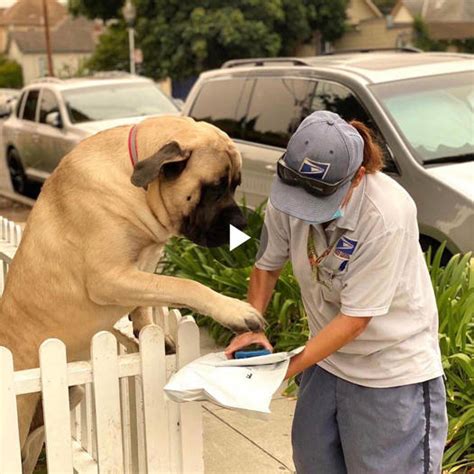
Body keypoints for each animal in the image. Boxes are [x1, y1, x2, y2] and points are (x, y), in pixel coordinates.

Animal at [0, 115, 264, 470]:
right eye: (215, 187)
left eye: (235, 184)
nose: (244, 223)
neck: (139, 185)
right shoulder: (108, 277)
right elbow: (183, 285)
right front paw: (235, 310)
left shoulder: (143, 265)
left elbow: (150, 297)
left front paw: (148, 330)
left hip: (49, 417)